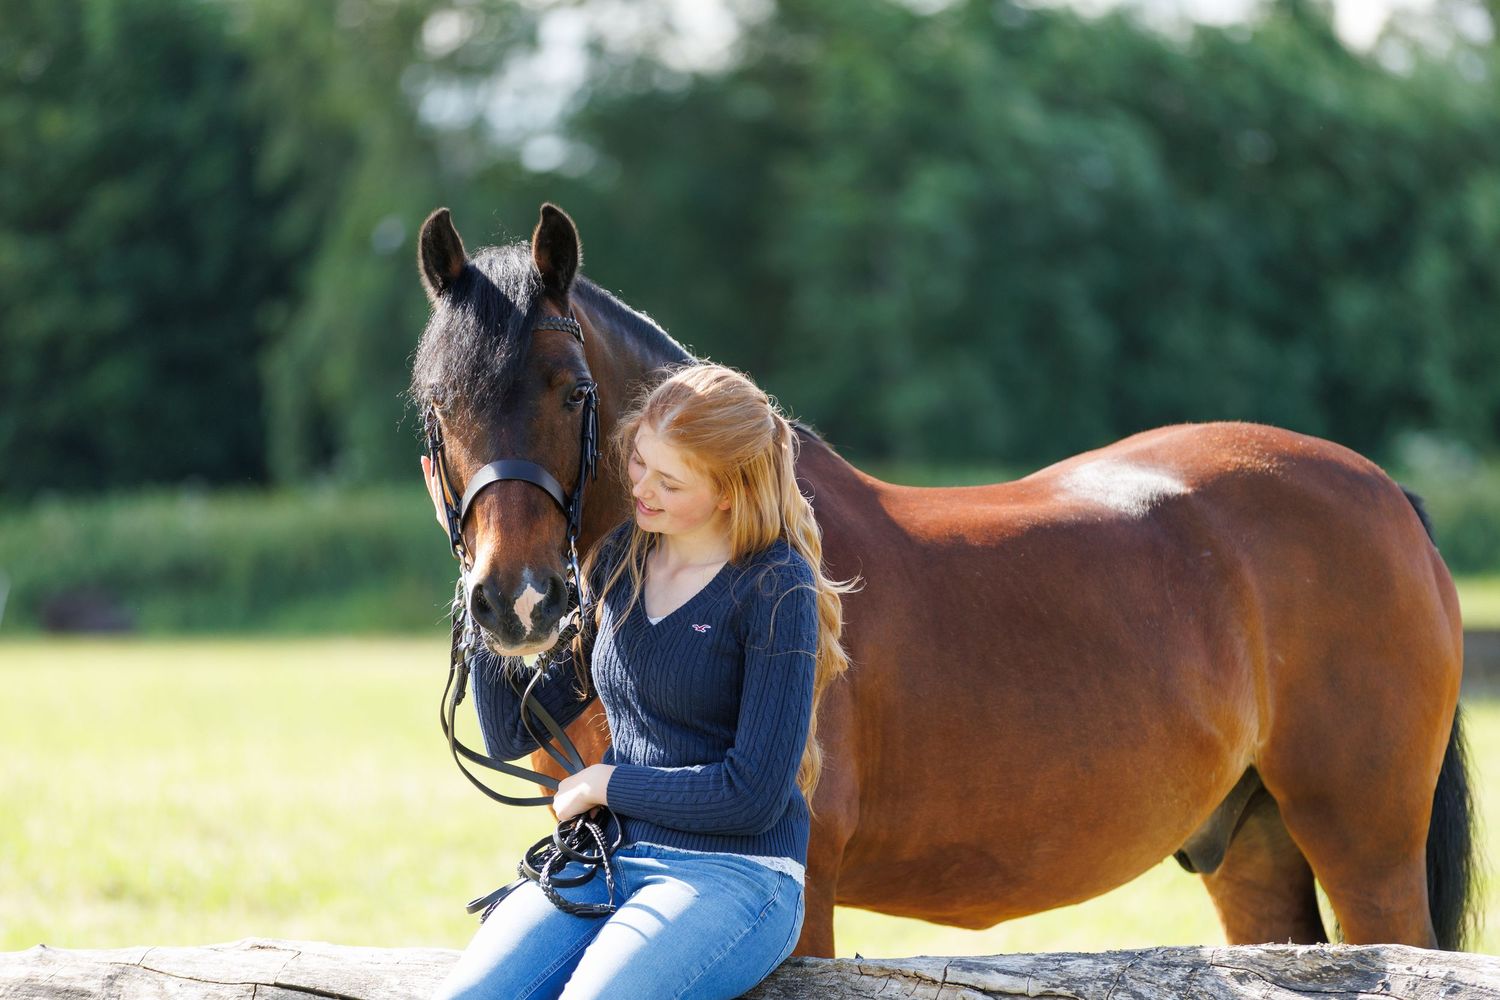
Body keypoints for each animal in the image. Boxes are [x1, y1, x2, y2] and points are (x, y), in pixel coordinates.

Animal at [408, 202, 1477, 958]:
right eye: (434, 408)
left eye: (574, 392)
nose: (518, 602)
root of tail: (1386, 493)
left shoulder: (807, 896)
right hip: (1254, 849)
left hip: (1368, 851)